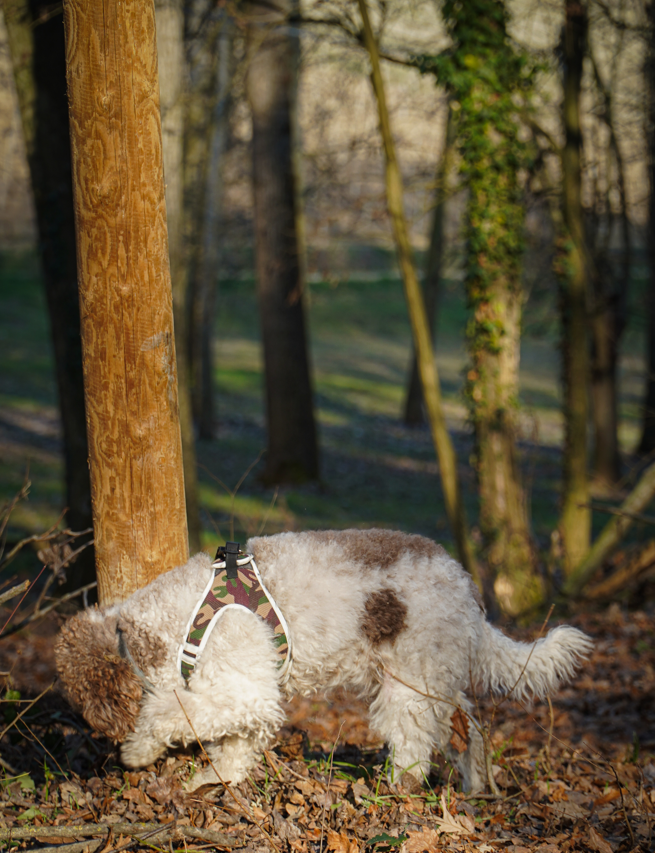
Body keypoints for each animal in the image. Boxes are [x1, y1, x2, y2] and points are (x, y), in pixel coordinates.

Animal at [56, 524, 592, 792]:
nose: (94, 759)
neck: (182, 620)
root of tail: (466, 586)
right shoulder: (252, 701)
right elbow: (235, 747)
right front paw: (213, 781)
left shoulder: (246, 692)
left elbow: (171, 713)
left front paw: (138, 750)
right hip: (431, 679)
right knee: (469, 729)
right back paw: (478, 786)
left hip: (409, 687)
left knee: (416, 749)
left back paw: (394, 792)